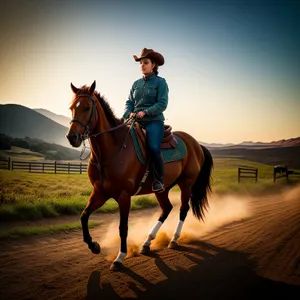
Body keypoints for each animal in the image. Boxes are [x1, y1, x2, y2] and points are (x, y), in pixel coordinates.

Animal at [66, 80, 212, 272]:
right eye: (71, 107)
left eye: (87, 107)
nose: (72, 137)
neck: (111, 151)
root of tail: (196, 144)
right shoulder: (100, 193)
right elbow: (84, 216)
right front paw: (94, 246)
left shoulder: (124, 196)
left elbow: (123, 227)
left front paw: (120, 257)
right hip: (162, 189)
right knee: (166, 209)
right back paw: (147, 242)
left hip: (186, 184)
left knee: (183, 209)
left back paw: (173, 239)